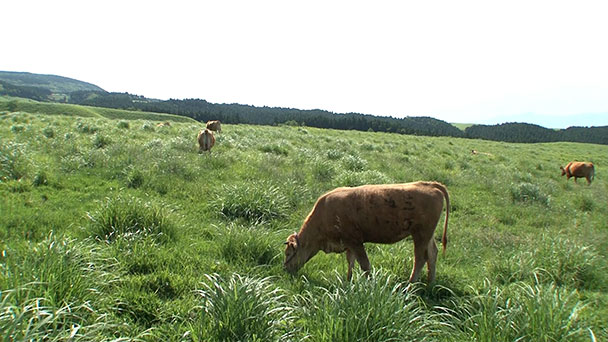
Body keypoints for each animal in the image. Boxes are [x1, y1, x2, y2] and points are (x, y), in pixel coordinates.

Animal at [282, 182, 448, 284]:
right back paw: (430, 284)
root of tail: (430, 184)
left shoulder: (356, 242)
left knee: (420, 258)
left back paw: (409, 285)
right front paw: (348, 281)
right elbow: (351, 263)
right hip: (427, 236)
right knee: (432, 254)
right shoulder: (349, 244)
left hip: (420, 235)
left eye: (288, 253)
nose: (285, 269)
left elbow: (364, 265)